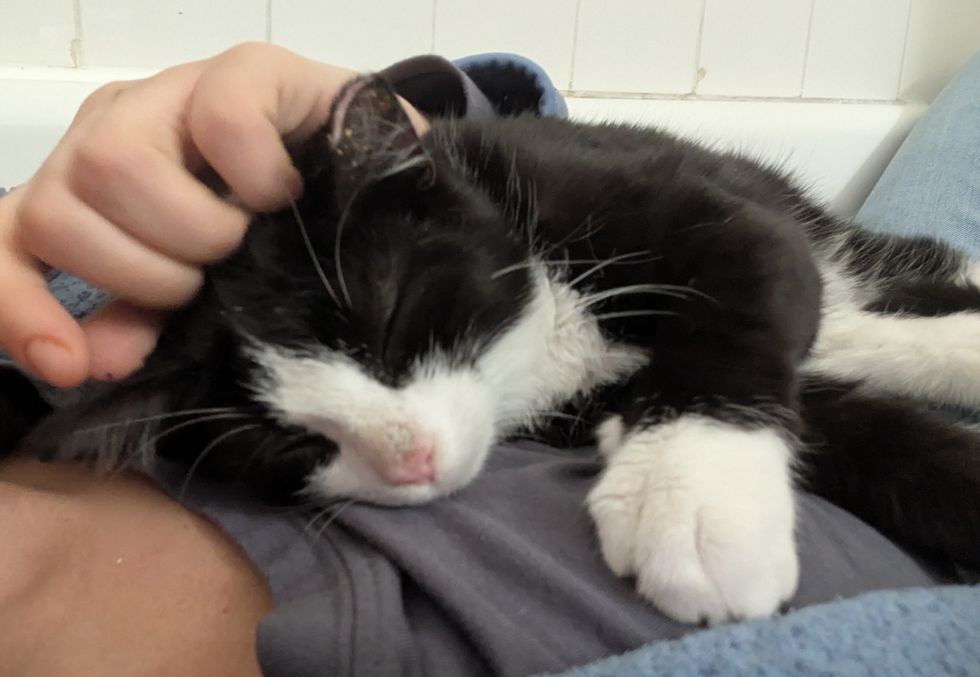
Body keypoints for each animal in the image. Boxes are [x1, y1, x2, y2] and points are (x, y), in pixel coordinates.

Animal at [7, 74, 980, 624]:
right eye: (284, 442)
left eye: (391, 318)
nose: (411, 457)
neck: (538, 346)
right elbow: (866, 434)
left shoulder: (617, 189)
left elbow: (748, 278)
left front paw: (696, 501)